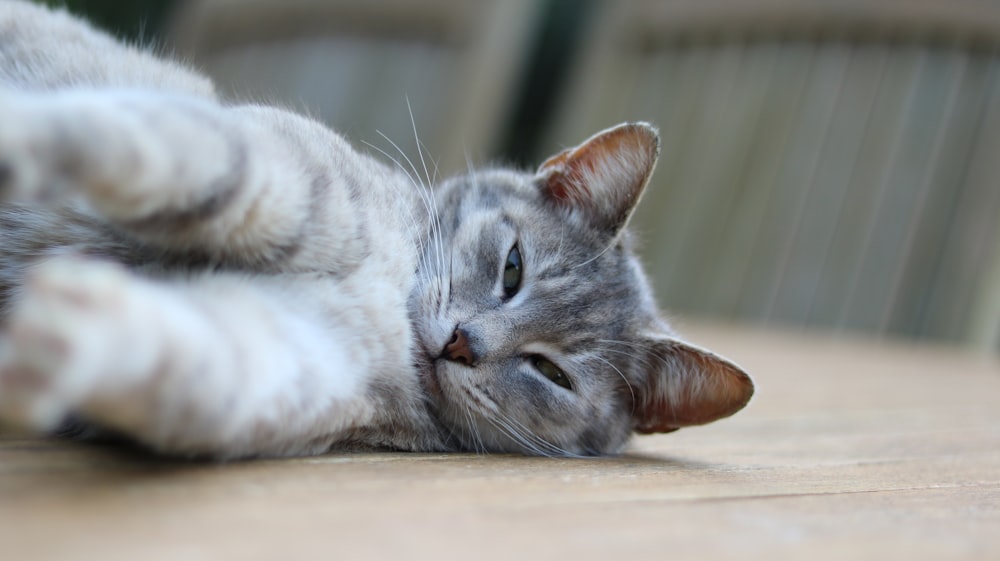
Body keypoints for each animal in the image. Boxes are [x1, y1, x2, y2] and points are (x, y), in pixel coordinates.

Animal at [0, 1, 752, 460]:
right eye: (512, 267)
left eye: (551, 372)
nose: (462, 343)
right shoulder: (276, 163)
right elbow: (139, 143)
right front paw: (26, 136)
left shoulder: (288, 356)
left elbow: (179, 354)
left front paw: (66, 334)